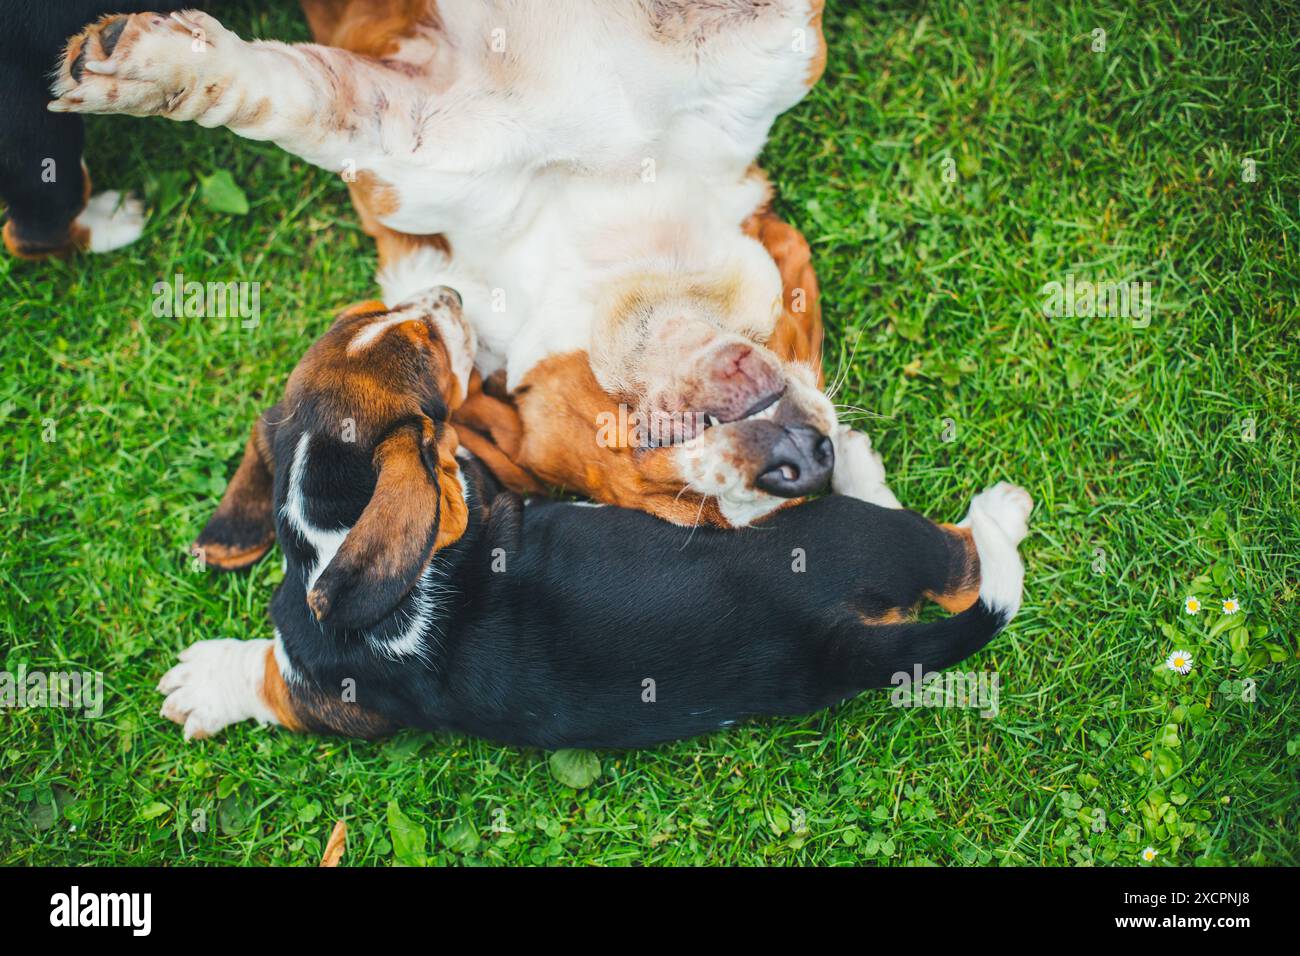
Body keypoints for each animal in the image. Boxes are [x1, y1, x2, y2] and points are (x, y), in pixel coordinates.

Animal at [162, 287, 1034, 749]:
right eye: (428, 345)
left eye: (397, 320)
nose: (448, 293)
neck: (329, 526)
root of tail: (834, 643)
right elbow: (272, 674)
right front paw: (206, 682)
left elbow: (273, 670)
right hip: (851, 536)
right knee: (960, 561)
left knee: (962, 564)